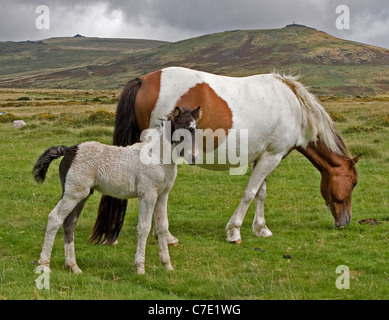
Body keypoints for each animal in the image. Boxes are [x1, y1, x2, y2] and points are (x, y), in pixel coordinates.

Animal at [33, 105, 202, 276]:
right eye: (181, 129)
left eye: (196, 129)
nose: (194, 157)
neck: (156, 156)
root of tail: (69, 150)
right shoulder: (147, 195)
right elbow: (144, 228)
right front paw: (140, 267)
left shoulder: (162, 195)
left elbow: (162, 227)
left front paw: (167, 265)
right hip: (73, 194)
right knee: (55, 218)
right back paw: (44, 265)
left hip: (81, 195)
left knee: (69, 223)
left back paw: (73, 266)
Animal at [94, 65, 358, 245]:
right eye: (354, 183)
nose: (344, 222)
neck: (293, 107)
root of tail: (145, 79)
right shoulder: (272, 157)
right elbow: (250, 193)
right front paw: (234, 230)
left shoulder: (262, 157)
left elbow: (261, 192)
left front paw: (261, 228)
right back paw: (165, 236)